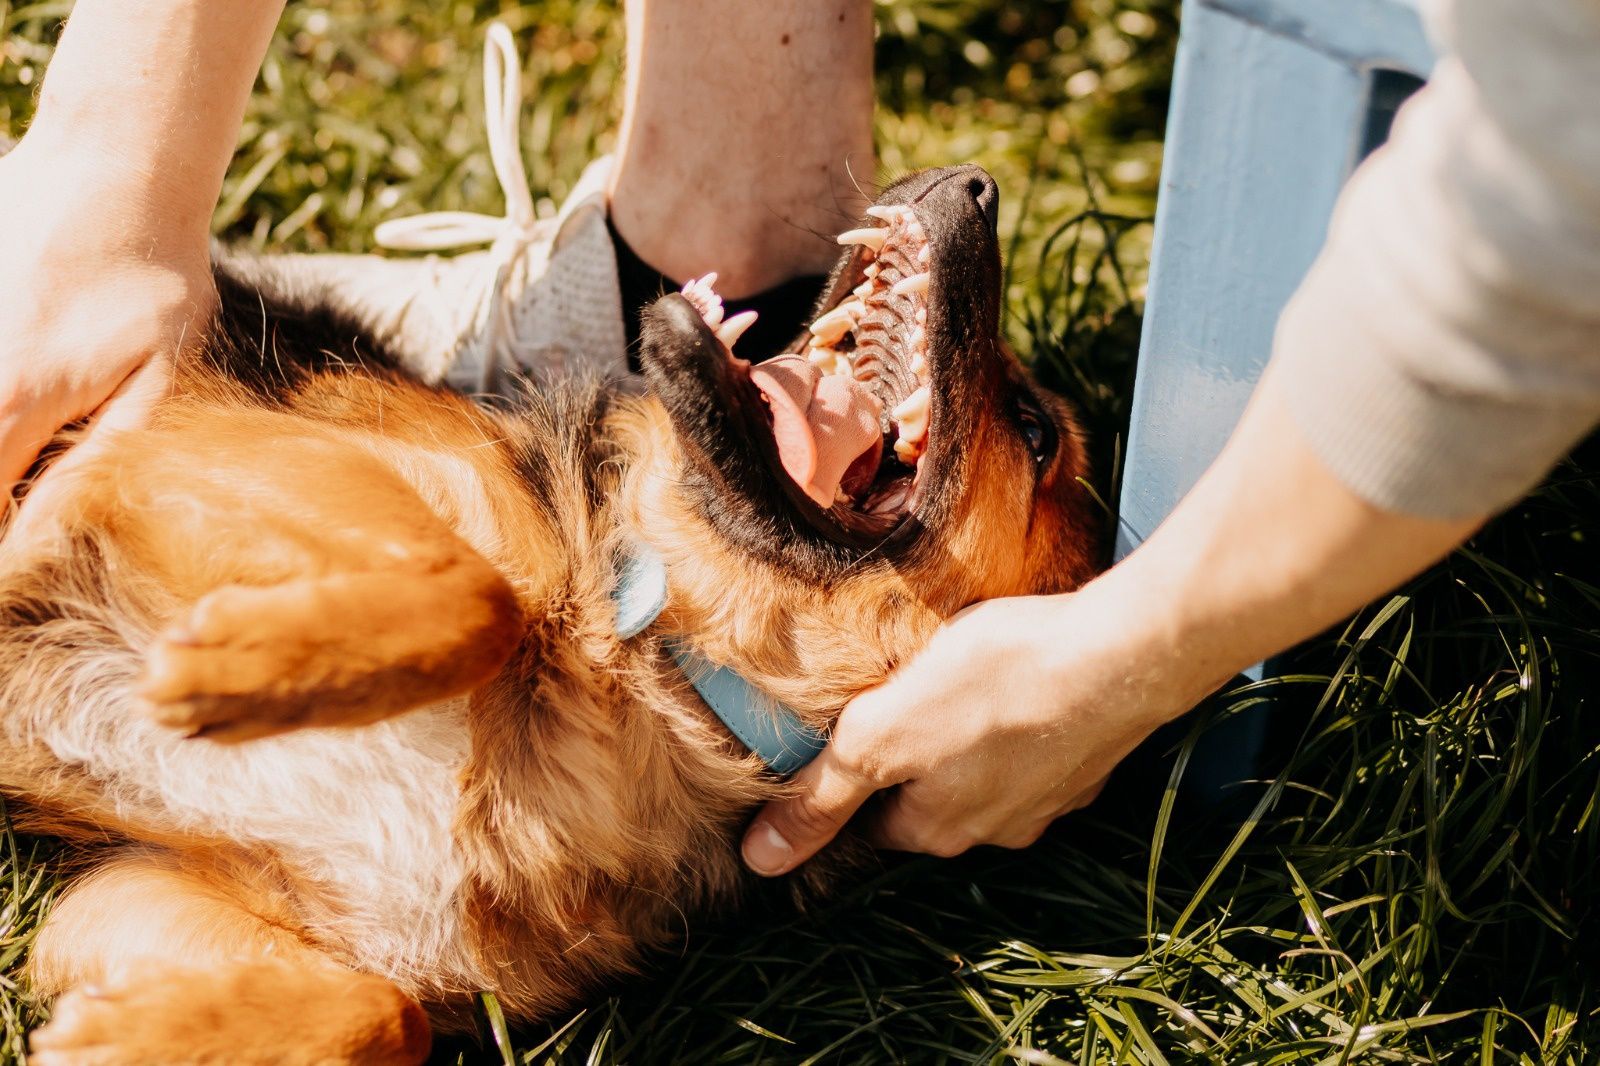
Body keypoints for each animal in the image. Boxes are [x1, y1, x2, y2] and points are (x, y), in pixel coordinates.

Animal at [3, 161, 1100, 1056]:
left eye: (1035, 433)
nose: (973, 183)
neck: (659, 661)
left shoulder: (139, 901)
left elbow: (384, 1017)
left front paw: (121, 1038)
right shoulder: (201, 449)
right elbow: (481, 594)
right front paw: (242, 667)